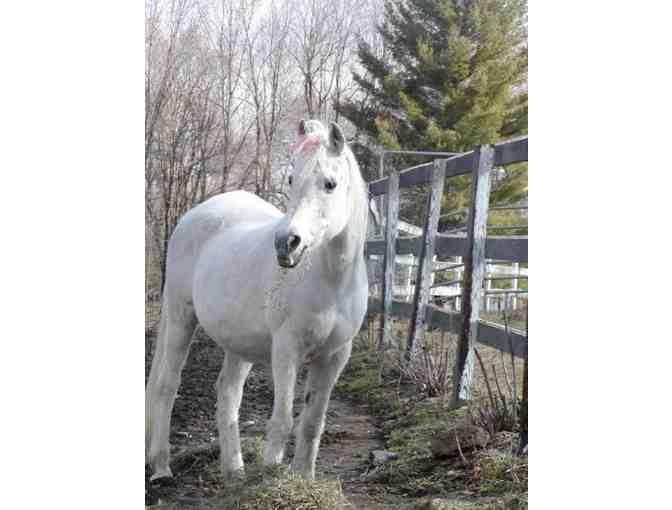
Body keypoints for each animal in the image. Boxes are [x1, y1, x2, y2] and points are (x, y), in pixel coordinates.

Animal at [145, 119, 371, 482]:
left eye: (330, 184)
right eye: (292, 179)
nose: (286, 244)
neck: (330, 282)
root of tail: (194, 215)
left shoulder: (335, 357)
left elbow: (312, 423)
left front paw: (303, 479)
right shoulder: (286, 349)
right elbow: (283, 420)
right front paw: (271, 475)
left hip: (239, 344)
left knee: (227, 394)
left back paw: (234, 470)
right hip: (181, 318)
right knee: (167, 385)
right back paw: (162, 467)